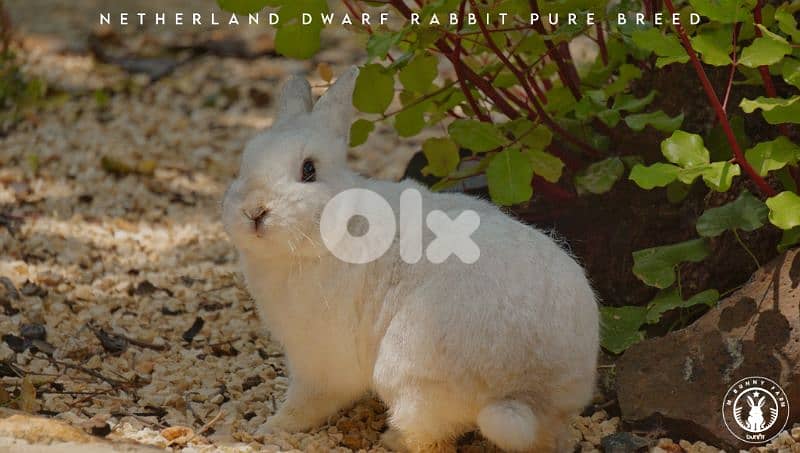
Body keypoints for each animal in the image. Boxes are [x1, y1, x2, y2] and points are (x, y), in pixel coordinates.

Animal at [221, 66, 599, 452]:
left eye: (308, 170)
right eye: (243, 165)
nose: (254, 212)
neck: (333, 230)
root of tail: (525, 389)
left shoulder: (318, 360)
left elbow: (309, 401)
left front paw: (271, 427)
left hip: (409, 374)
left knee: (426, 436)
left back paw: (391, 439)